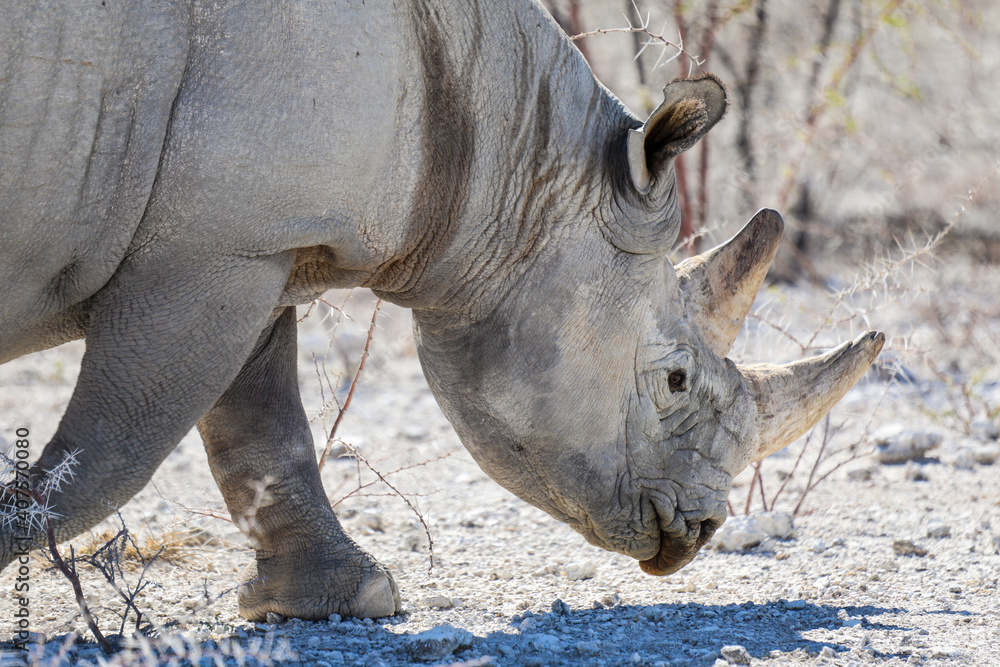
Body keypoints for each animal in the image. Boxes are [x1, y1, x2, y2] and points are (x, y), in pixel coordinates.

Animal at [0, 0, 883, 621]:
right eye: (673, 381)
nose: (698, 531)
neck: (508, 168)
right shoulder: (214, 246)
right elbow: (115, 448)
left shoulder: (253, 238)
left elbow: (259, 425)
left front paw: (335, 601)